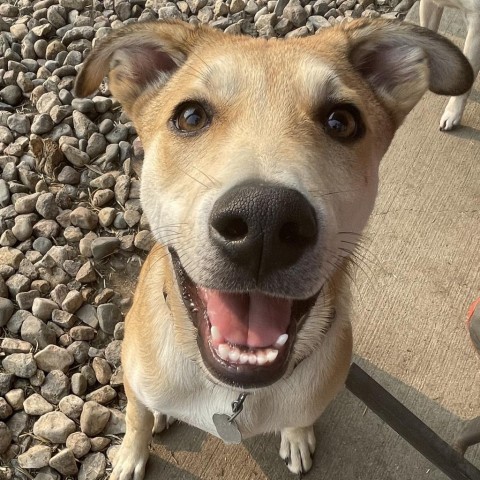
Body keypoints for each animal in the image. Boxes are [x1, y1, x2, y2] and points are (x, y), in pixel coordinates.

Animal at [75, 16, 472, 478]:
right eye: (190, 116)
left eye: (342, 121)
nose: (263, 221)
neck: (232, 394)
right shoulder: (137, 379)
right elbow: (136, 416)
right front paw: (129, 456)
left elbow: (300, 417)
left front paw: (297, 439)